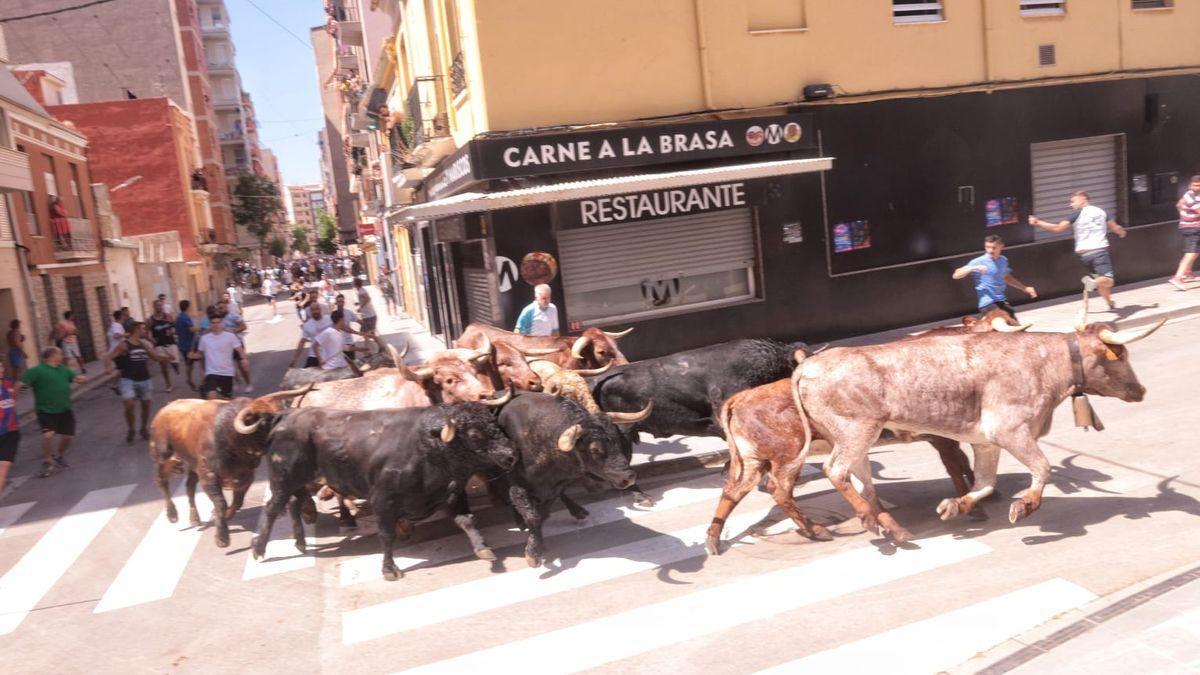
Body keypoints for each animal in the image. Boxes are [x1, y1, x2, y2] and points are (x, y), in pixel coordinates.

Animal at [148, 386, 314, 542]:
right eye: (266, 421)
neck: (232, 438)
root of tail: (165, 409)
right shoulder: (208, 476)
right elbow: (220, 502)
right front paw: (222, 537)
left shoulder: (246, 476)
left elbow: (237, 501)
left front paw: (226, 516)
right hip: (163, 456)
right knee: (162, 481)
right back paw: (172, 514)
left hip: (192, 465)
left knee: (189, 487)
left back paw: (194, 519)